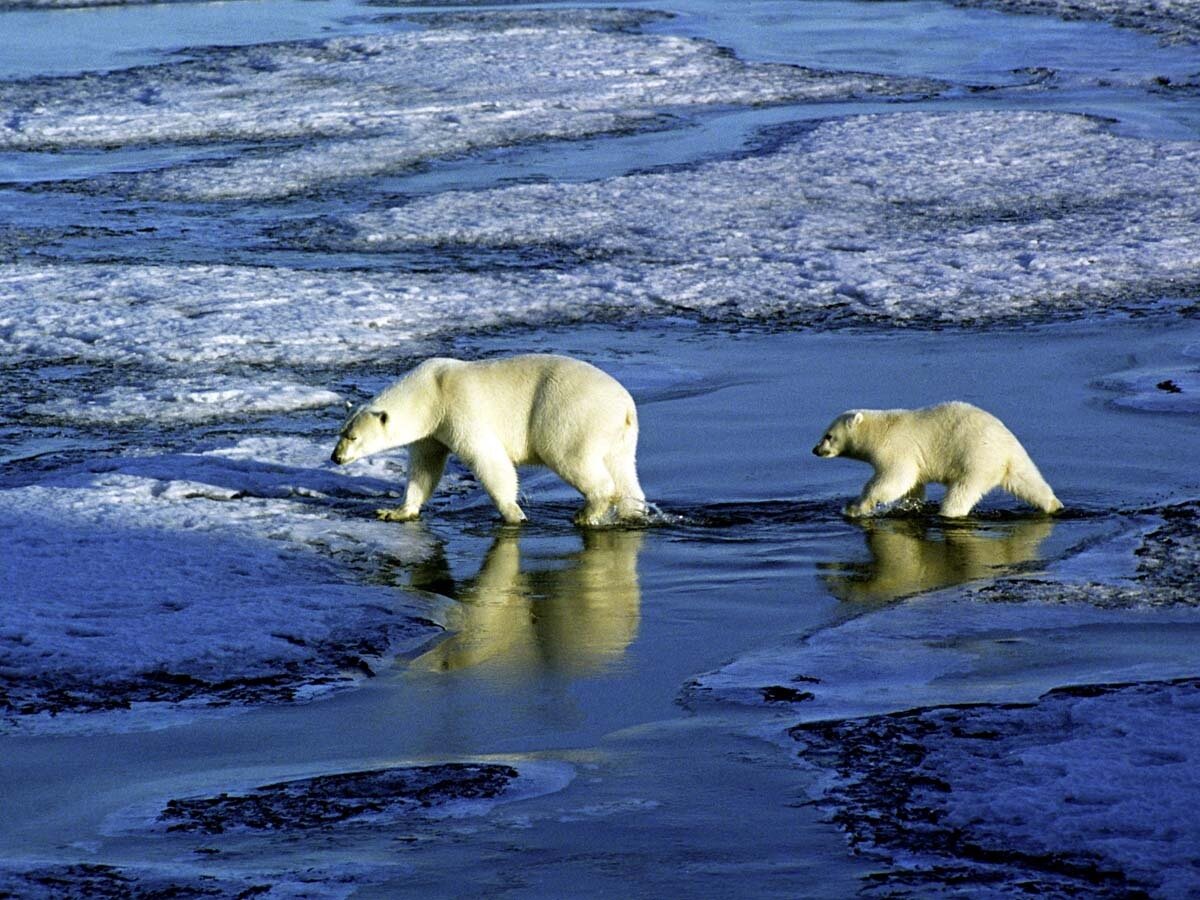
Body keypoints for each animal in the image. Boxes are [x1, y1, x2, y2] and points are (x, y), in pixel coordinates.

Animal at [328, 355, 648, 528]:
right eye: (340, 432)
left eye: (352, 436)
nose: (336, 458)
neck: (430, 390)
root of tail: (625, 406)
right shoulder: (432, 430)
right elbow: (424, 468)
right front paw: (394, 511)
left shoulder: (459, 407)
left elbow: (488, 459)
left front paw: (513, 514)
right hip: (619, 435)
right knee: (623, 470)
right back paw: (632, 513)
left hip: (569, 413)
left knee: (569, 456)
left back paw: (585, 513)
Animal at [816, 403, 1060, 520]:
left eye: (828, 435)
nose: (815, 449)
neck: (882, 428)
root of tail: (1006, 447)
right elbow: (912, 484)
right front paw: (911, 504)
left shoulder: (896, 448)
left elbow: (894, 479)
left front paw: (854, 507)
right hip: (1012, 461)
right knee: (1029, 481)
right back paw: (1053, 505)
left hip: (976, 460)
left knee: (961, 493)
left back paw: (946, 513)